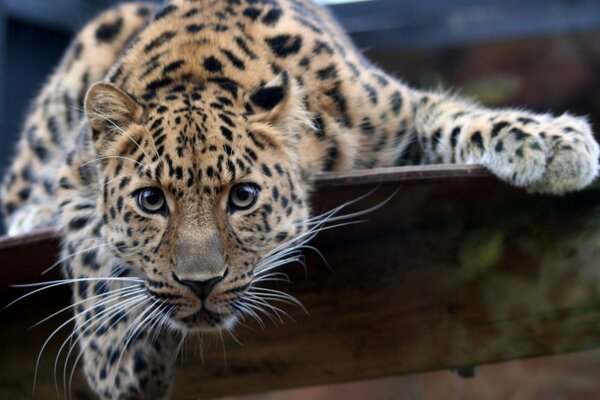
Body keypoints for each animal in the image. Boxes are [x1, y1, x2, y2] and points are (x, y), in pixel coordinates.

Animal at [0, 0, 596, 396]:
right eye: (150, 201)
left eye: (243, 197)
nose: (200, 285)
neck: (197, 67)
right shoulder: (74, 175)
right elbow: (91, 255)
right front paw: (118, 365)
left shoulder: (398, 113)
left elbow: (458, 118)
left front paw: (555, 143)